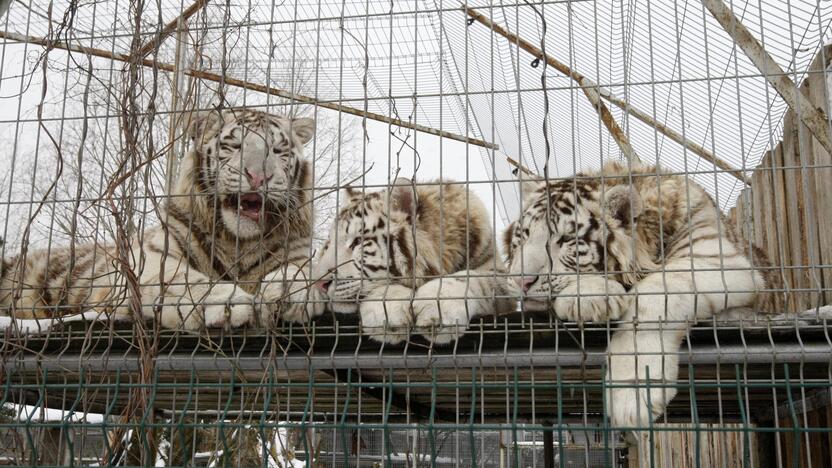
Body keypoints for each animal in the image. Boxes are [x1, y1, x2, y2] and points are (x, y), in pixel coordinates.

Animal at [0, 109, 320, 330]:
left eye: (278, 151)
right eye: (234, 147)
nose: (258, 176)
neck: (237, 241)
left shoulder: (296, 253)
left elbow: (304, 270)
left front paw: (291, 293)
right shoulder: (148, 260)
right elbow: (183, 281)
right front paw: (230, 303)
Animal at [310, 179, 510, 344]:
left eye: (358, 241)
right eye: (327, 246)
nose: (319, 283)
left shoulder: (498, 274)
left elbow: (473, 278)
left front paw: (437, 306)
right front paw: (385, 314)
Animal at [504, 161, 776, 428]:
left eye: (566, 239)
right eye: (523, 236)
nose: (520, 281)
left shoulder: (716, 259)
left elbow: (652, 295)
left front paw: (632, 395)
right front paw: (592, 298)